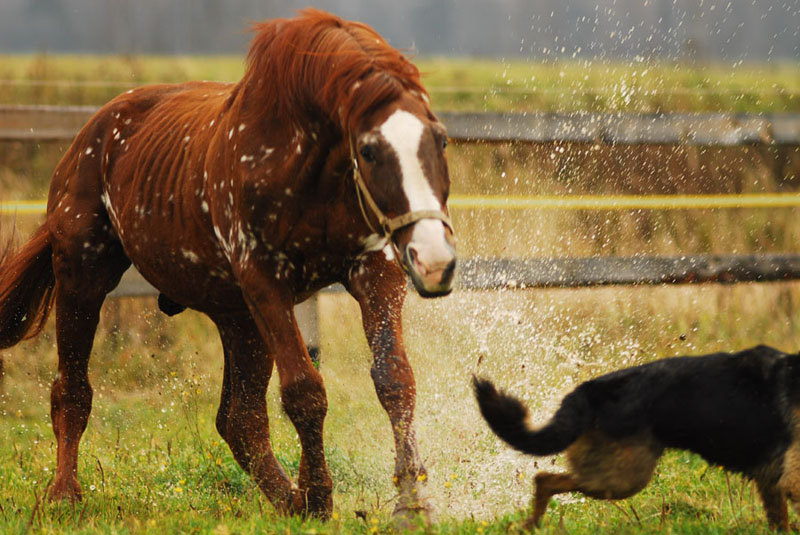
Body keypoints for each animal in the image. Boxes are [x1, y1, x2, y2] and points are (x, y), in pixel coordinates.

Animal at [0, 8, 454, 520]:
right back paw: (64, 495)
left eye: (440, 140)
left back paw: (287, 497)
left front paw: (410, 504)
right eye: (371, 150)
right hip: (82, 279)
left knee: (240, 420)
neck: (307, 163)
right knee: (72, 392)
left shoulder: (374, 271)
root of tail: (87, 138)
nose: (434, 259)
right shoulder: (266, 283)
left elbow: (393, 379)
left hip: (237, 318)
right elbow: (305, 391)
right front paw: (320, 498)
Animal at [476, 346, 800, 528]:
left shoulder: (773, 482)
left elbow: (779, 523)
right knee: (544, 479)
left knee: (546, 480)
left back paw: (530, 525)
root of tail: (588, 390)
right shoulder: (791, 483)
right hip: (624, 478)